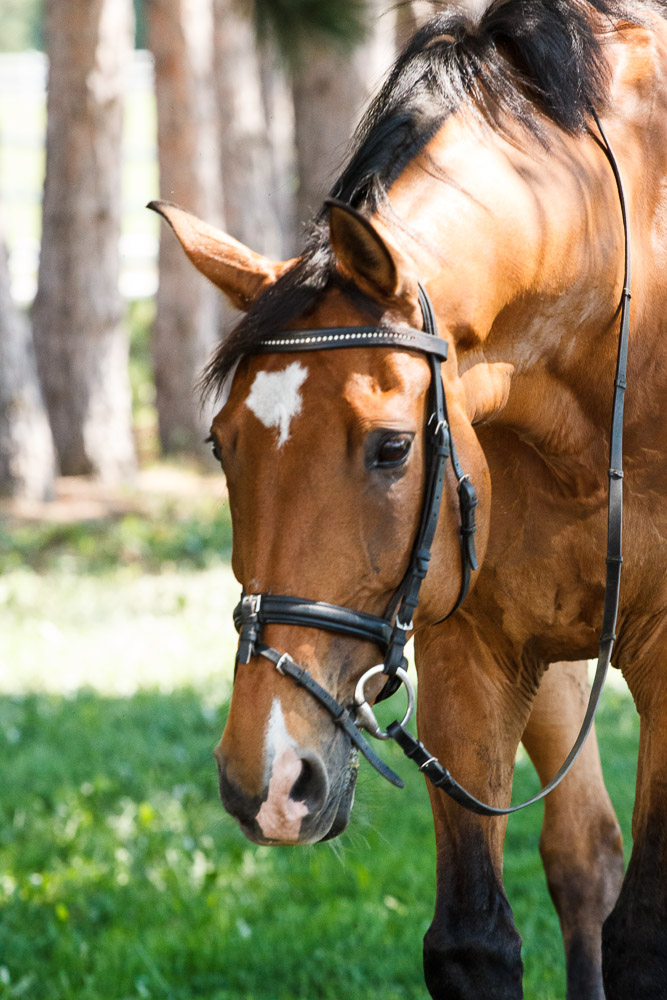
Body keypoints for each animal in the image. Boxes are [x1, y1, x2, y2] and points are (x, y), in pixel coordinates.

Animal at [149, 3, 667, 996]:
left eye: (391, 447)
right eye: (221, 444)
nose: (267, 779)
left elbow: (644, 942)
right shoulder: (471, 646)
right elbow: (473, 938)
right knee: (582, 852)